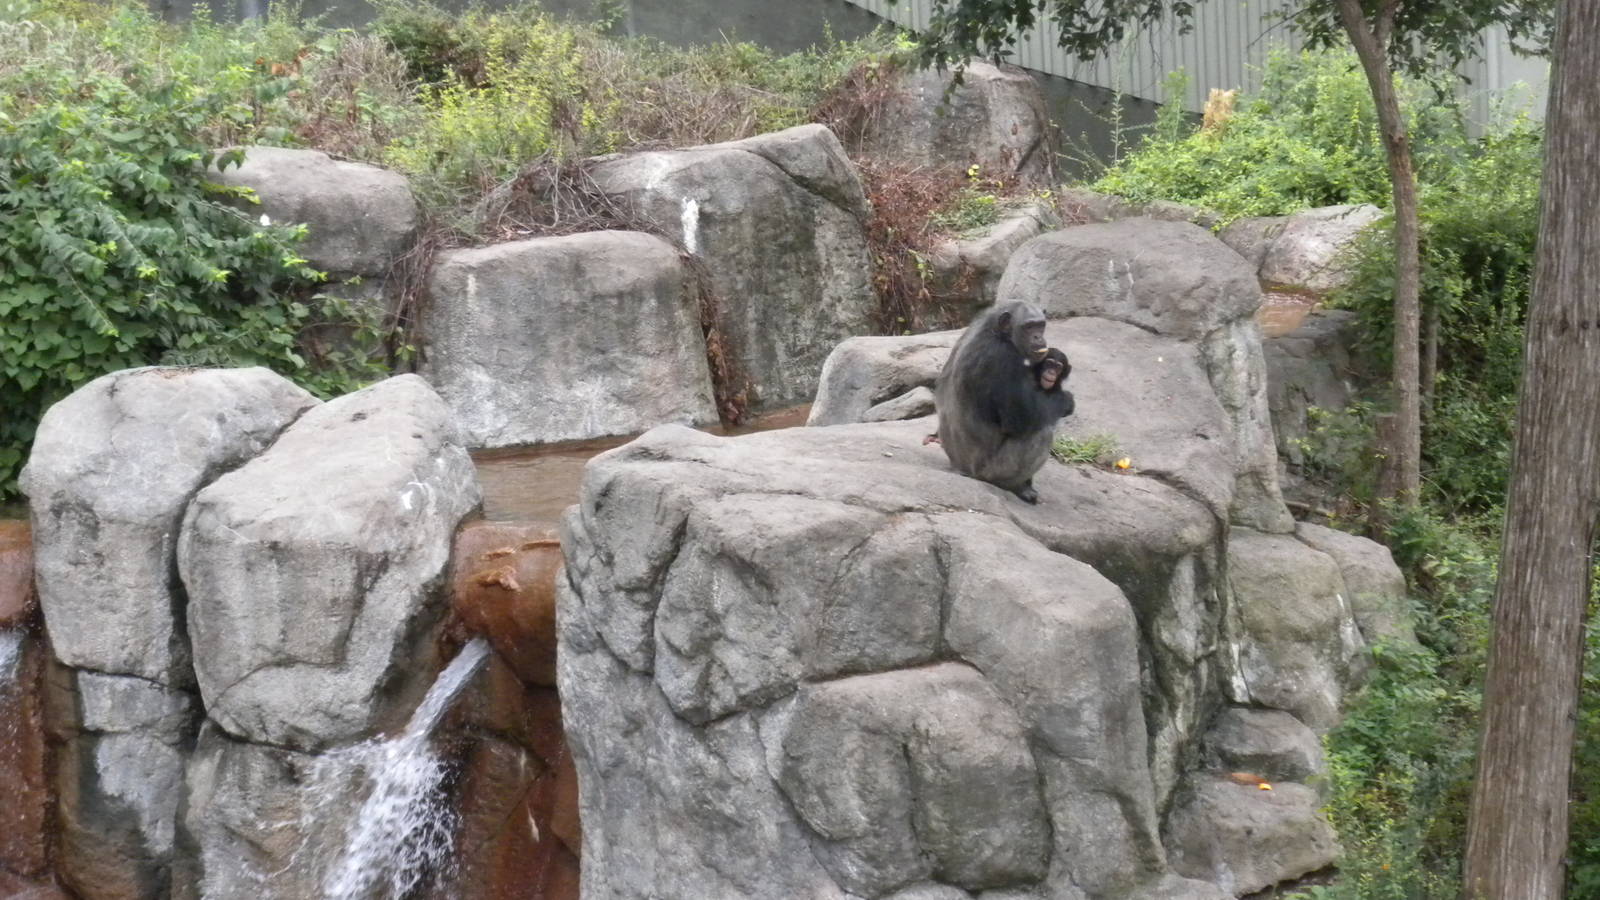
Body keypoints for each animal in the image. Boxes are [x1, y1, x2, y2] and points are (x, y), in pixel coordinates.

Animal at [930, 300, 1073, 504]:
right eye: (1029, 327)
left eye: (1041, 325)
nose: (1038, 337)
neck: (997, 332)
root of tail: (960, 470)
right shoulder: (1004, 359)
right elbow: (1020, 421)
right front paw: (1066, 400)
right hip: (994, 472)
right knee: (1042, 433)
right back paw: (1021, 488)